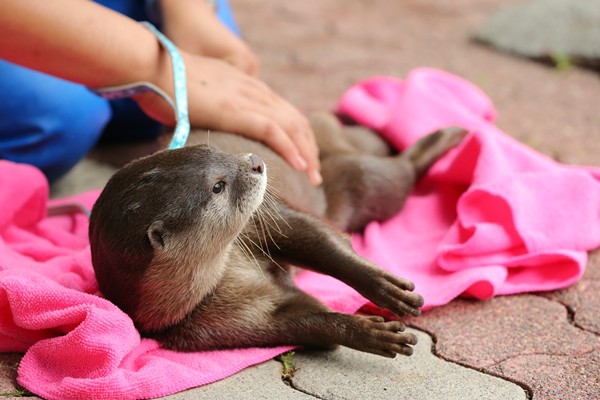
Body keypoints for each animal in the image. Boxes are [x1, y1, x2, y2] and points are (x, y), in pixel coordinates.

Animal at [89, 113, 466, 360]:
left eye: (213, 151)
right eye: (217, 187)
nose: (256, 161)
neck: (224, 276)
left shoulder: (258, 222)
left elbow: (318, 240)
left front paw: (385, 288)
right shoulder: (216, 324)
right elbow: (305, 320)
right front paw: (368, 332)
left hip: (358, 172)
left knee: (392, 166)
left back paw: (445, 135)